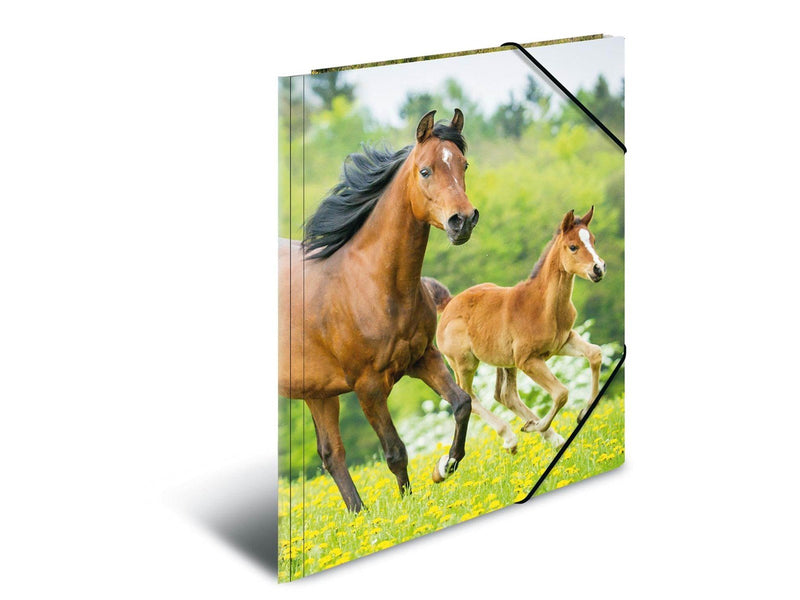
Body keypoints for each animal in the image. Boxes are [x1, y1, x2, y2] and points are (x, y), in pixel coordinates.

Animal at [278, 110, 479, 512]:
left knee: (332, 455)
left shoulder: (423, 358)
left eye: (463, 164)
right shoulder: (368, 387)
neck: (371, 284)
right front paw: (408, 507)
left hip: (317, 392)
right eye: (425, 171)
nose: (462, 221)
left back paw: (360, 516)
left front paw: (444, 467)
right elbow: (395, 451)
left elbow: (462, 403)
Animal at [434, 207, 606, 454]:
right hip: (464, 363)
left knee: (505, 395)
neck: (543, 306)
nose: (598, 268)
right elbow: (561, 393)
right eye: (573, 246)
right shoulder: (528, 360)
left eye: (593, 240)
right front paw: (536, 425)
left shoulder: (564, 341)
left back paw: (551, 437)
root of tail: (448, 304)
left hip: (504, 361)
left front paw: (582, 412)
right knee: (469, 398)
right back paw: (511, 437)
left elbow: (595, 354)